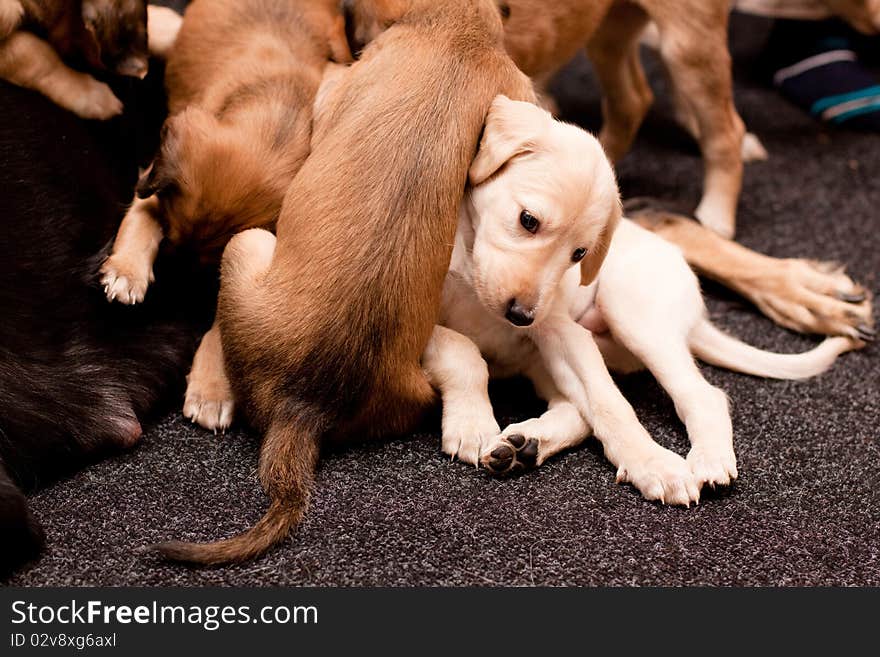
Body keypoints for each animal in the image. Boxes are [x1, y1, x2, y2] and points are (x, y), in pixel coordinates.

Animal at [426, 97, 860, 504]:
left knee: (703, 396)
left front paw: (652, 463)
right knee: (575, 409)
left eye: (580, 254)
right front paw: (473, 423)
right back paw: (524, 445)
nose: (521, 316)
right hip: (551, 357)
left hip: (632, 314)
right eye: (528, 220)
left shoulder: (565, 334)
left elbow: (611, 404)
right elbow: (461, 349)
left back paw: (708, 459)